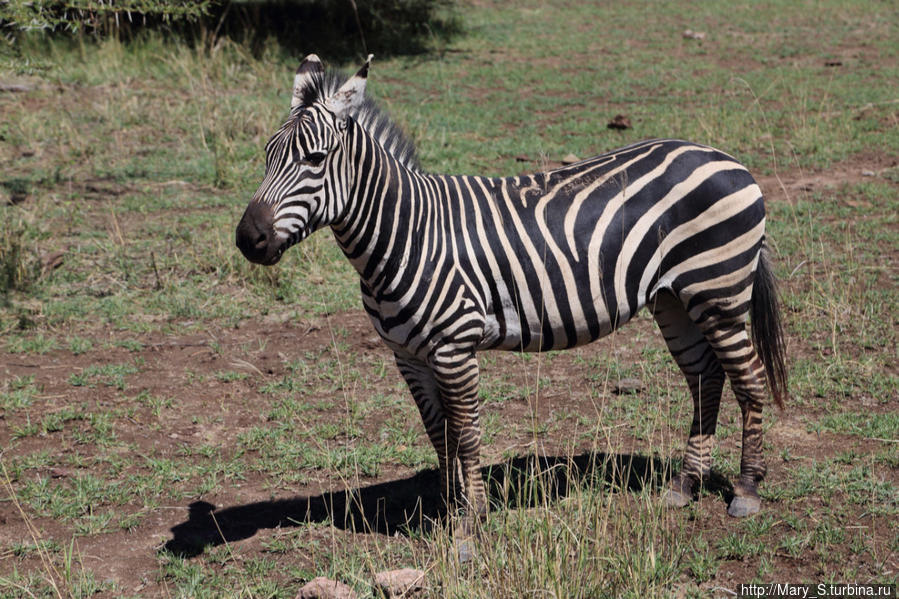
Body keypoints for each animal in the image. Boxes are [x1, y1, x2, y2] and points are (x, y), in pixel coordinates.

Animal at [237, 54, 788, 528]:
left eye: (314, 159)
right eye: (266, 156)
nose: (248, 239)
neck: (406, 235)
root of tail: (725, 157)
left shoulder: (454, 348)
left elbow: (467, 434)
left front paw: (471, 520)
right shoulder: (408, 356)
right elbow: (439, 435)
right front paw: (449, 509)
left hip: (717, 292)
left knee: (749, 380)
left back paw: (746, 490)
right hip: (674, 298)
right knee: (705, 377)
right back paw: (685, 484)